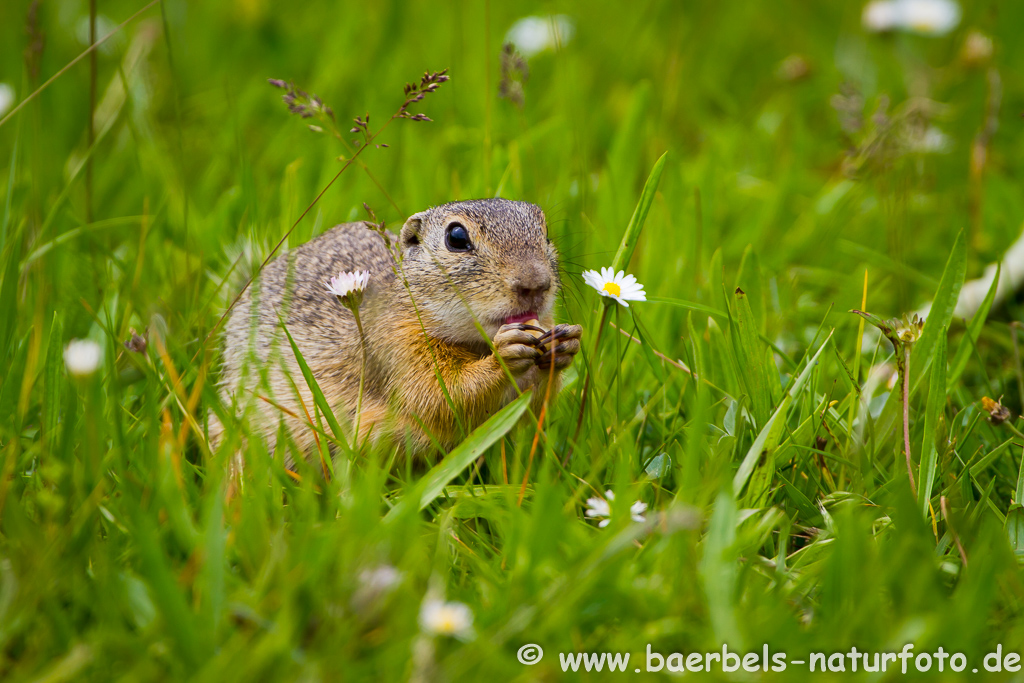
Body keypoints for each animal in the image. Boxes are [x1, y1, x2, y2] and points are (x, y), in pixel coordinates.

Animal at [214, 200, 585, 462]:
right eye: (456, 238)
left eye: (545, 232)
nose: (535, 284)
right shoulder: (396, 347)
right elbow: (441, 397)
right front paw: (503, 356)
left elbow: (530, 409)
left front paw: (566, 345)